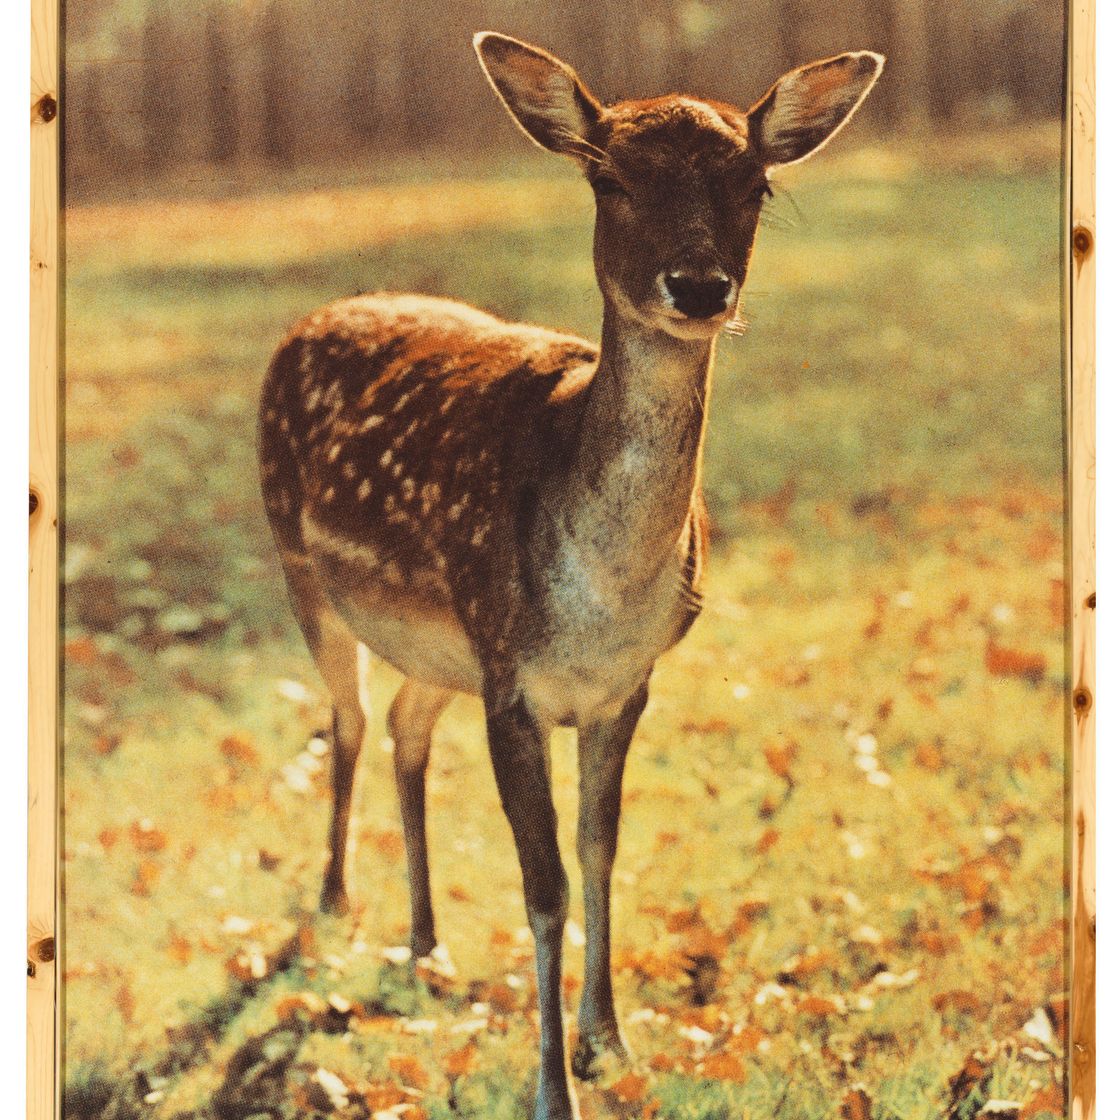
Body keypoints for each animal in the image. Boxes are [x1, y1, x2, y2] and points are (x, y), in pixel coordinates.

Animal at [258, 32, 882, 1119]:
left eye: (754, 183)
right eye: (610, 177)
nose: (699, 285)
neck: (604, 597)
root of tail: (310, 319)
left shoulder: (621, 685)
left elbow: (601, 846)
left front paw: (611, 1042)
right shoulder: (511, 681)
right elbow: (541, 885)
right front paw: (554, 1086)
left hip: (440, 642)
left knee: (404, 729)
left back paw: (426, 942)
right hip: (303, 564)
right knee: (346, 719)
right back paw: (336, 903)